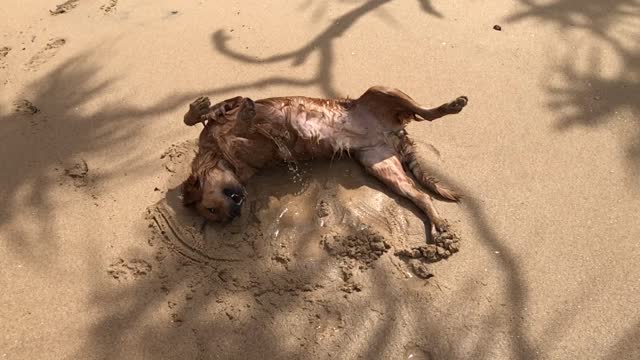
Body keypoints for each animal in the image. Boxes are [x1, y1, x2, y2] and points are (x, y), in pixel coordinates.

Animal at [180, 86, 464, 239]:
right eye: (213, 213)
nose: (235, 214)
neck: (218, 154)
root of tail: (390, 131)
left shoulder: (233, 112)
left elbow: (214, 113)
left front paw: (201, 109)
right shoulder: (253, 157)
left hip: (380, 91)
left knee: (426, 112)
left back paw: (451, 106)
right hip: (380, 165)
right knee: (421, 195)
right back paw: (437, 223)